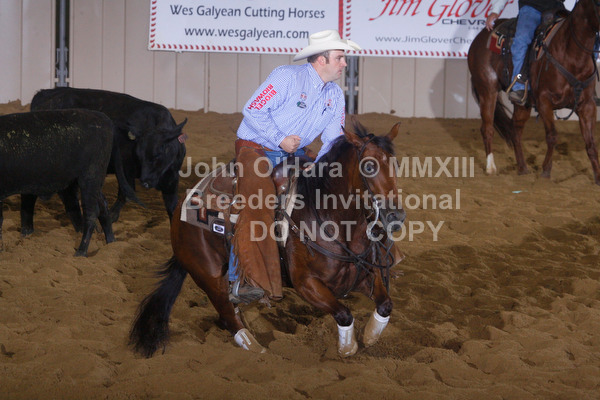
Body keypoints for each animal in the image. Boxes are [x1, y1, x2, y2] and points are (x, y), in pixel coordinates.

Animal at [0, 109, 139, 256]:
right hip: (91, 181)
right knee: (102, 207)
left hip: (90, 178)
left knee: (91, 213)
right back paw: (111, 244)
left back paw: (81, 252)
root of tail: (105, 119)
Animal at [30, 87, 187, 222]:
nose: (145, 182)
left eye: (157, 155)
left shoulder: (171, 180)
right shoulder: (126, 169)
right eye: (139, 156)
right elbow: (125, 193)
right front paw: (111, 216)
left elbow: (173, 208)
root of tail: (45, 94)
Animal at [129, 118, 405, 357]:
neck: (332, 219)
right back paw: (256, 349)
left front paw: (370, 336)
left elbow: (385, 305)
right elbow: (344, 314)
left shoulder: (365, 275)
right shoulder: (307, 284)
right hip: (208, 274)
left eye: (395, 164)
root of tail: (181, 209)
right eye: (369, 166)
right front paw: (348, 348)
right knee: (227, 315)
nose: (396, 215)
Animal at [467, 0, 600, 184]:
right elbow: (552, 136)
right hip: (487, 90)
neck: (572, 55)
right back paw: (491, 168)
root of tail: (481, 36)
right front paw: (546, 171)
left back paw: (523, 168)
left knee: (515, 131)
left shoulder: (587, 105)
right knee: (487, 128)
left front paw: (598, 178)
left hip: (522, 104)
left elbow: (591, 143)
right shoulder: (544, 101)